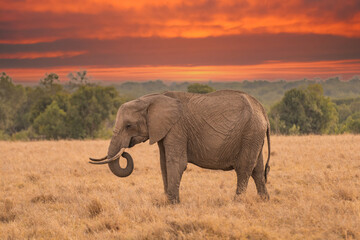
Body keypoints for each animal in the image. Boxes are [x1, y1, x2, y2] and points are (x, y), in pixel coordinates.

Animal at [90, 90, 270, 202]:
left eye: (128, 126)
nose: (124, 152)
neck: (152, 99)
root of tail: (263, 110)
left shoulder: (177, 128)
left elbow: (176, 162)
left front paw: (173, 202)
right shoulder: (164, 130)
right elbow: (164, 164)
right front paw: (166, 201)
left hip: (250, 132)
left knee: (244, 168)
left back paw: (236, 202)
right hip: (254, 136)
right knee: (258, 169)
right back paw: (264, 201)